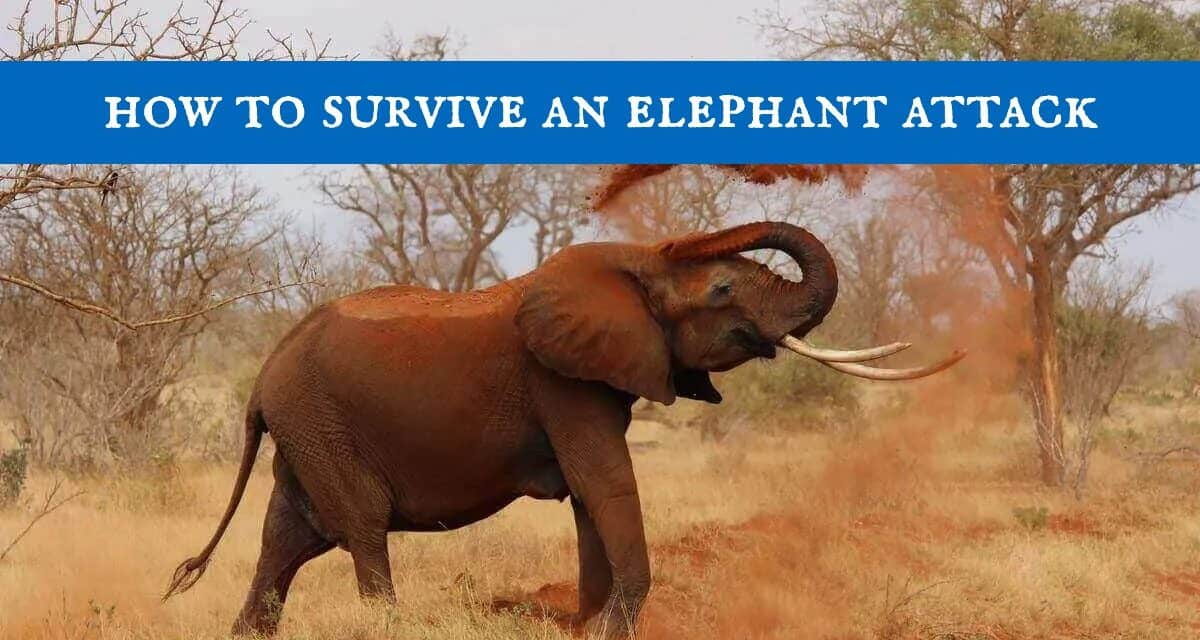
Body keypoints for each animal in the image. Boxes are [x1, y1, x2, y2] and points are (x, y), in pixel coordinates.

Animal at [162, 221, 962, 637]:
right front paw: (609, 627)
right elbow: (604, 483)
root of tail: (263, 376)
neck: (632, 264)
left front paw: (589, 624)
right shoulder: (561, 381)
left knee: (287, 541)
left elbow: (589, 497)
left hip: (307, 430)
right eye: (724, 289)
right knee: (360, 529)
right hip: (321, 424)